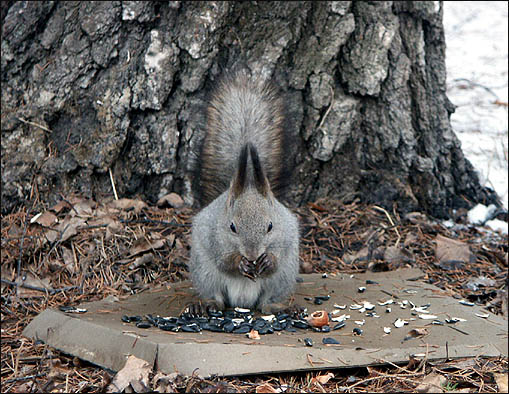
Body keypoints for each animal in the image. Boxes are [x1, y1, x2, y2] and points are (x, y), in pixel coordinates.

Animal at [187, 67, 298, 314]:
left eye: (270, 226)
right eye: (232, 227)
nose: (253, 254)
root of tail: (243, 302)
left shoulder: (286, 234)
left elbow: (278, 257)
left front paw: (267, 261)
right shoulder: (213, 238)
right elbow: (224, 261)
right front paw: (240, 263)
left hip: (282, 278)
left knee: (266, 303)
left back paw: (281, 308)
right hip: (205, 273)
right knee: (217, 295)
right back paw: (207, 305)